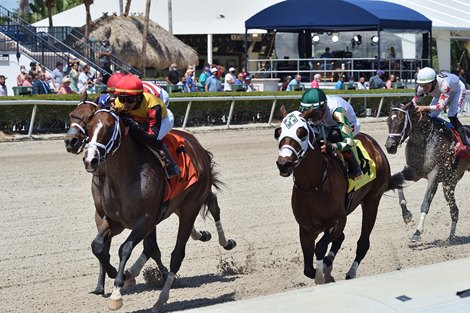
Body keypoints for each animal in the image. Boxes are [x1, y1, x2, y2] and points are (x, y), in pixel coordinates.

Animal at [274, 108, 398, 282]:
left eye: (302, 132)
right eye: (278, 132)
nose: (284, 164)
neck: (313, 187)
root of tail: (374, 145)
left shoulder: (339, 220)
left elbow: (320, 247)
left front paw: (321, 275)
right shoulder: (306, 228)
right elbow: (308, 268)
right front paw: (323, 269)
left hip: (372, 201)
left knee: (363, 243)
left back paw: (351, 272)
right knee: (340, 239)